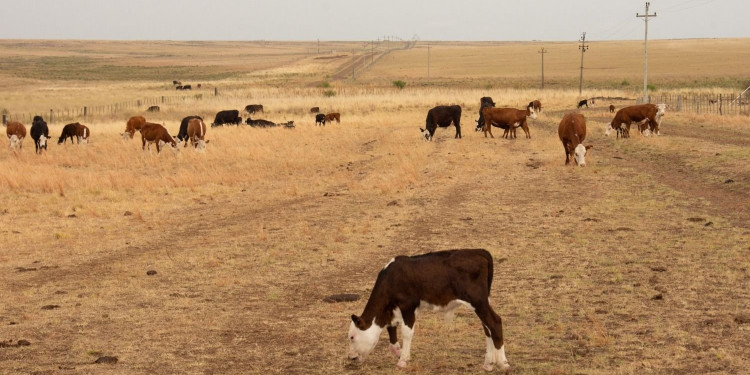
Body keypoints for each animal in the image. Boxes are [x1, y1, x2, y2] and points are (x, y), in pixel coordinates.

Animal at [348, 250, 512, 374]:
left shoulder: (408, 305)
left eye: (352, 337)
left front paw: (403, 360)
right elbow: (391, 328)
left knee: (495, 322)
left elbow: (406, 333)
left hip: (478, 301)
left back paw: (503, 363)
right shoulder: (393, 309)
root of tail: (479, 252)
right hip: (483, 302)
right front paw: (399, 352)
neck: (391, 278)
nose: (351, 358)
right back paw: (488, 364)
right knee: (487, 328)